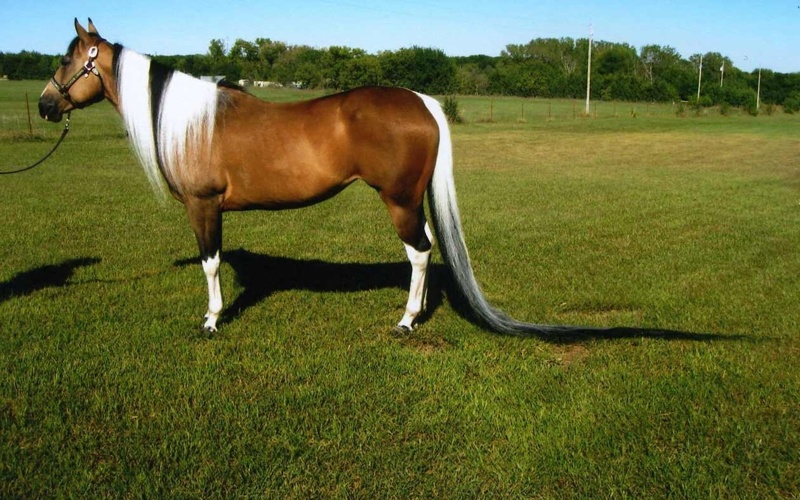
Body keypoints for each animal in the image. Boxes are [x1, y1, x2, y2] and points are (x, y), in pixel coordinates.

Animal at [39, 19, 587, 336]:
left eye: (66, 59)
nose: (46, 105)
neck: (192, 121)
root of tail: (421, 101)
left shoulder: (204, 205)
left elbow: (210, 264)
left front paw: (212, 320)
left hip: (400, 201)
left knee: (419, 252)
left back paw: (406, 321)